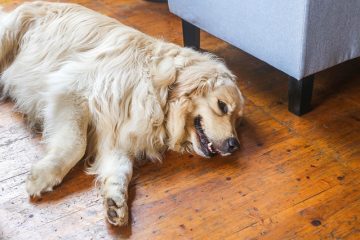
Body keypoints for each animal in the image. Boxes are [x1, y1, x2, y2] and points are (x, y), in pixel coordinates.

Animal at [0, 1, 245, 226]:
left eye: (237, 120)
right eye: (222, 106)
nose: (234, 145)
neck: (160, 88)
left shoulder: (118, 133)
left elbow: (121, 169)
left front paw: (115, 202)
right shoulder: (72, 90)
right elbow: (75, 145)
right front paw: (44, 175)